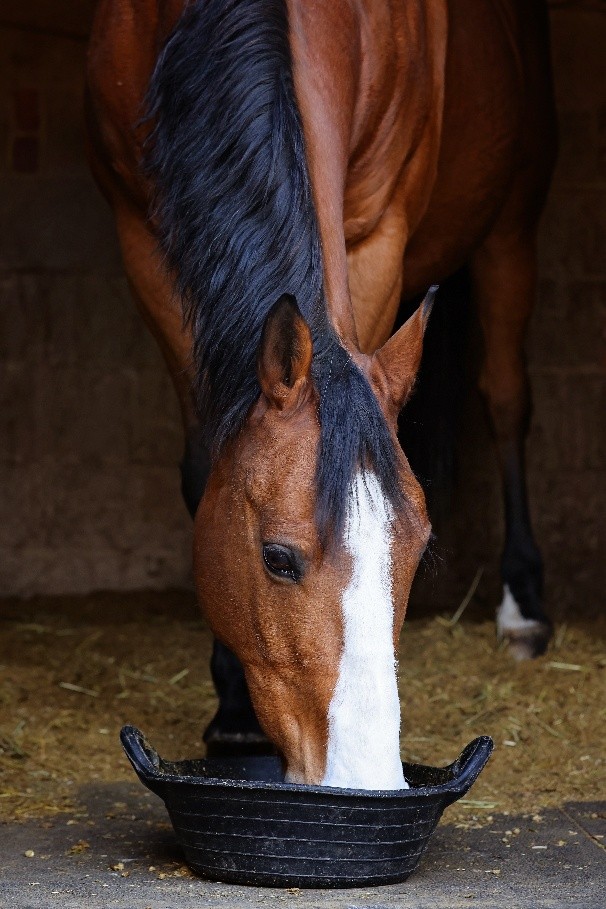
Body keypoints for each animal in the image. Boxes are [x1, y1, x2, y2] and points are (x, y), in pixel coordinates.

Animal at [86, 0, 557, 787]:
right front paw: (234, 712)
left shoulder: (378, 230)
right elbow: (202, 465)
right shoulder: (142, 236)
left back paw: (523, 607)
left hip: (512, 227)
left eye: (417, 550)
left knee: (507, 398)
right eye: (277, 558)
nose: (366, 778)